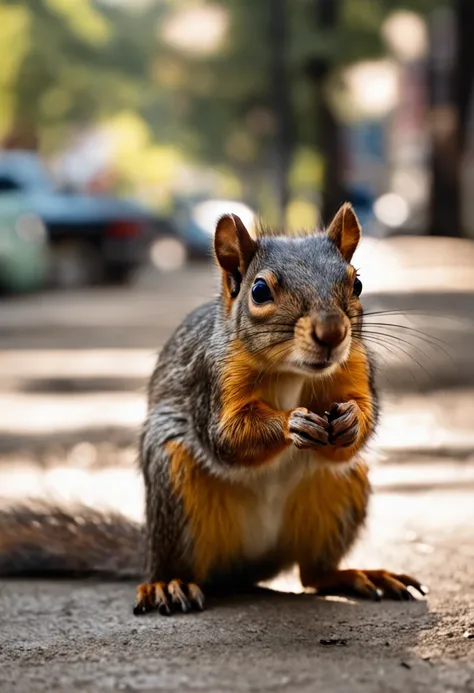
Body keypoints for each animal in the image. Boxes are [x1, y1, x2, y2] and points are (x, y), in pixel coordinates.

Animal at [0, 204, 424, 612]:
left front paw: (351, 420)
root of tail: (252, 565)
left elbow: (364, 421)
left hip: (340, 491)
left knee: (313, 575)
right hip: (174, 485)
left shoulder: (356, 364)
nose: (333, 333)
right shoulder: (213, 376)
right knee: (182, 564)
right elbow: (227, 437)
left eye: (357, 283)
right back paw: (166, 585)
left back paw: (359, 575)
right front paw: (292, 422)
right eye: (259, 291)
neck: (292, 371)